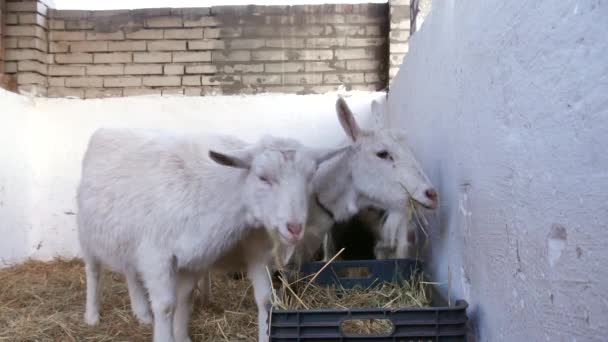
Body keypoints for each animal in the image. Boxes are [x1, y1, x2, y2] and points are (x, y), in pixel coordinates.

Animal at [76, 128, 342, 342]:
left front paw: (181, 337)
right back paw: (92, 315)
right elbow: (165, 306)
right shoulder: (157, 254)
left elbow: (189, 297)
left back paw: (142, 314)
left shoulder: (202, 257)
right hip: (87, 234)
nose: (295, 227)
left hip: (128, 238)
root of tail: (105, 130)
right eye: (262, 177)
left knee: (131, 270)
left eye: (310, 177)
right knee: (93, 271)